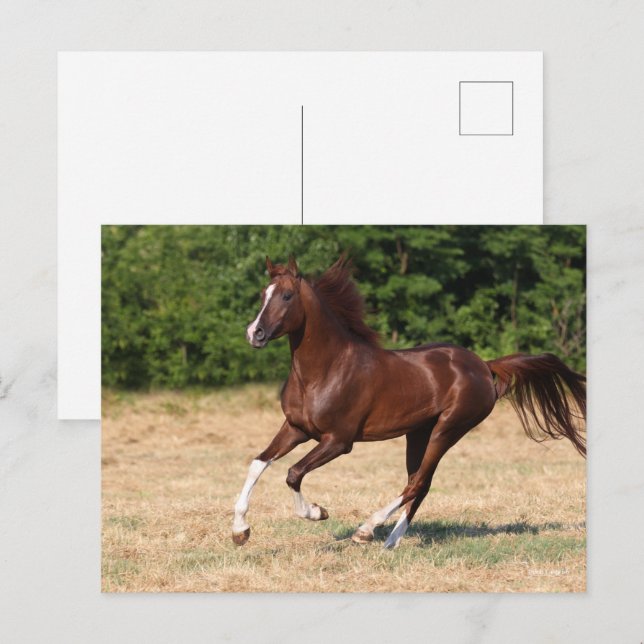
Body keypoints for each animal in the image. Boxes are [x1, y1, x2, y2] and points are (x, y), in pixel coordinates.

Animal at [232, 255, 586, 549]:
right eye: (263, 294)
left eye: (286, 296)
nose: (254, 333)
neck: (325, 370)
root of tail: (485, 366)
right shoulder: (296, 428)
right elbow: (258, 463)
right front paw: (240, 531)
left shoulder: (339, 441)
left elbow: (293, 473)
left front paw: (318, 512)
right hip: (418, 433)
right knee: (420, 483)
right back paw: (391, 542)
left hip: (448, 429)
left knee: (417, 483)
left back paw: (367, 531)